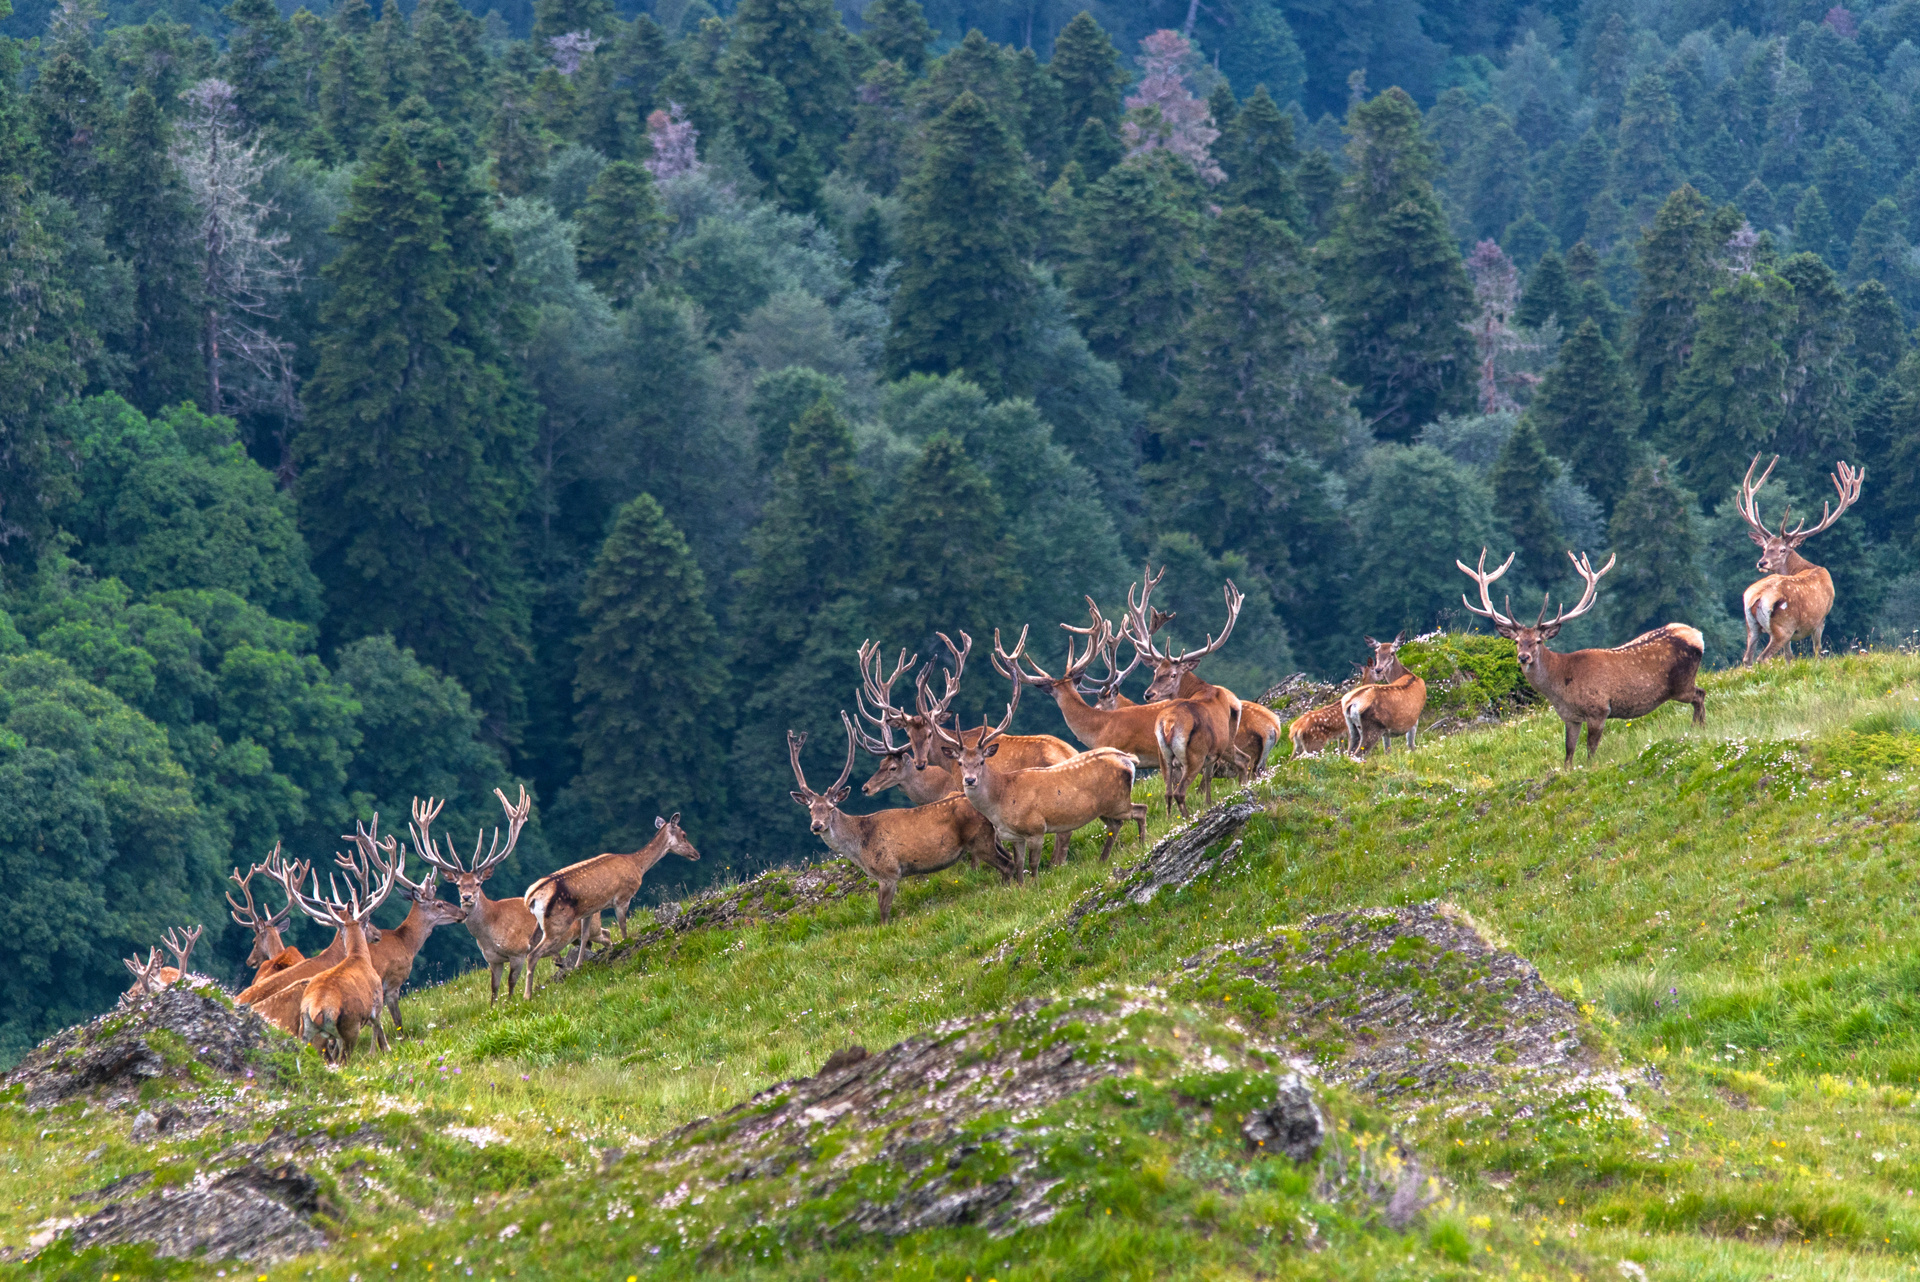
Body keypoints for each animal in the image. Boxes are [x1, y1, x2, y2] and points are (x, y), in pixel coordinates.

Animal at [526, 817, 706, 967]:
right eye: (684, 834)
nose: (697, 854)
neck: (637, 866)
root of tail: (531, 898)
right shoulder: (622, 898)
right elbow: (623, 928)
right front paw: (627, 948)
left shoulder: (589, 910)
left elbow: (585, 936)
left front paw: (577, 966)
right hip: (557, 923)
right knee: (535, 953)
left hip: (541, 924)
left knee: (531, 943)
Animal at [787, 717, 1013, 917]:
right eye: (810, 809)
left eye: (831, 807)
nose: (816, 826)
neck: (860, 846)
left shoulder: (888, 872)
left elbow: (884, 910)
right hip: (991, 838)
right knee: (1010, 857)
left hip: (980, 840)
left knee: (1006, 864)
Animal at [1451, 548, 1712, 767]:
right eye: (1517, 641)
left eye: (1538, 641)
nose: (1524, 657)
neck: (1561, 686)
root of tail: (1697, 635)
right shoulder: (1570, 717)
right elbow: (1569, 752)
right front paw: (1567, 771)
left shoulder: (1599, 709)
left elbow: (1590, 751)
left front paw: (1588, 767)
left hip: (1681, 684)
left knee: (1700, 694)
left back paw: (1697, 729)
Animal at [1743, 454, 1858, 667]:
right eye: (1764, 548)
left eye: (1781, 549)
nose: (1762, 563)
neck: (1806, 567)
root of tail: (1757, 596)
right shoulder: (1820, 619)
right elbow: (1817, 651)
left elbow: (1789, 657)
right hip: (1783, 626)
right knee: (1763, 657)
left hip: (1752, 626)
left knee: (1747, 658)